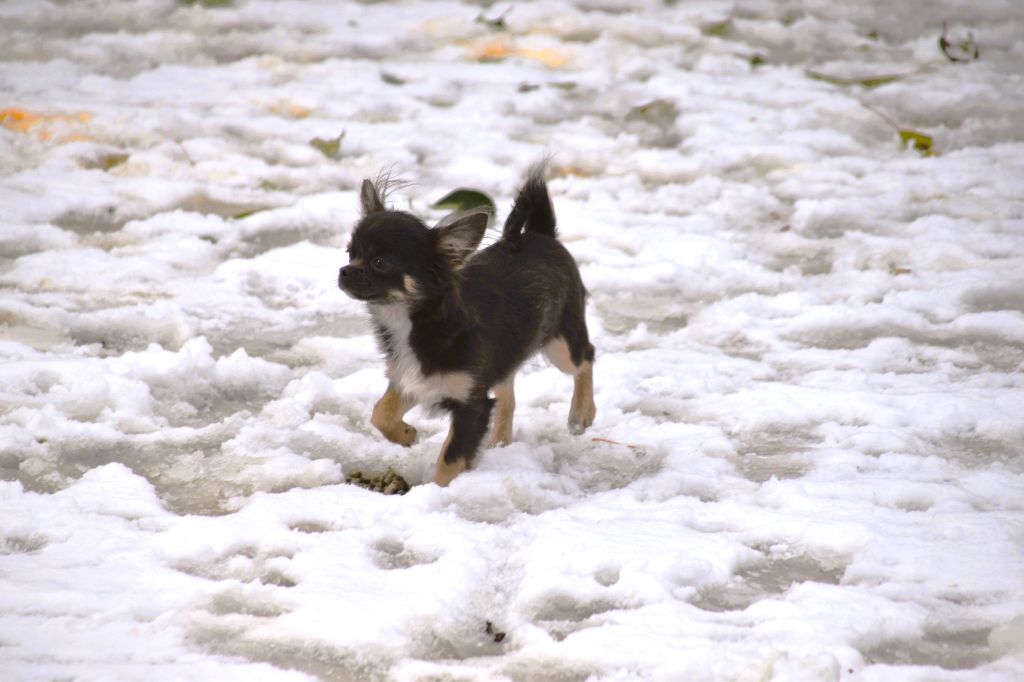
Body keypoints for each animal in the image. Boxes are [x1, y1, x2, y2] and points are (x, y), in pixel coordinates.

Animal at [337, 164, 593, 483]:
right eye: (350, 253)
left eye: (379, 262)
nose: (343, 271)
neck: (410, 322)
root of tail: (539, 233)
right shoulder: (412, 379)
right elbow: (380, 412)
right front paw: (407, 434)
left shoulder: (471, 404)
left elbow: (450, 459)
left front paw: (441, 489)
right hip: (507, 356)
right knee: (507, 393)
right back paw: (500, 441)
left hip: (561, 346)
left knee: (586, 358)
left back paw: (582, 414)